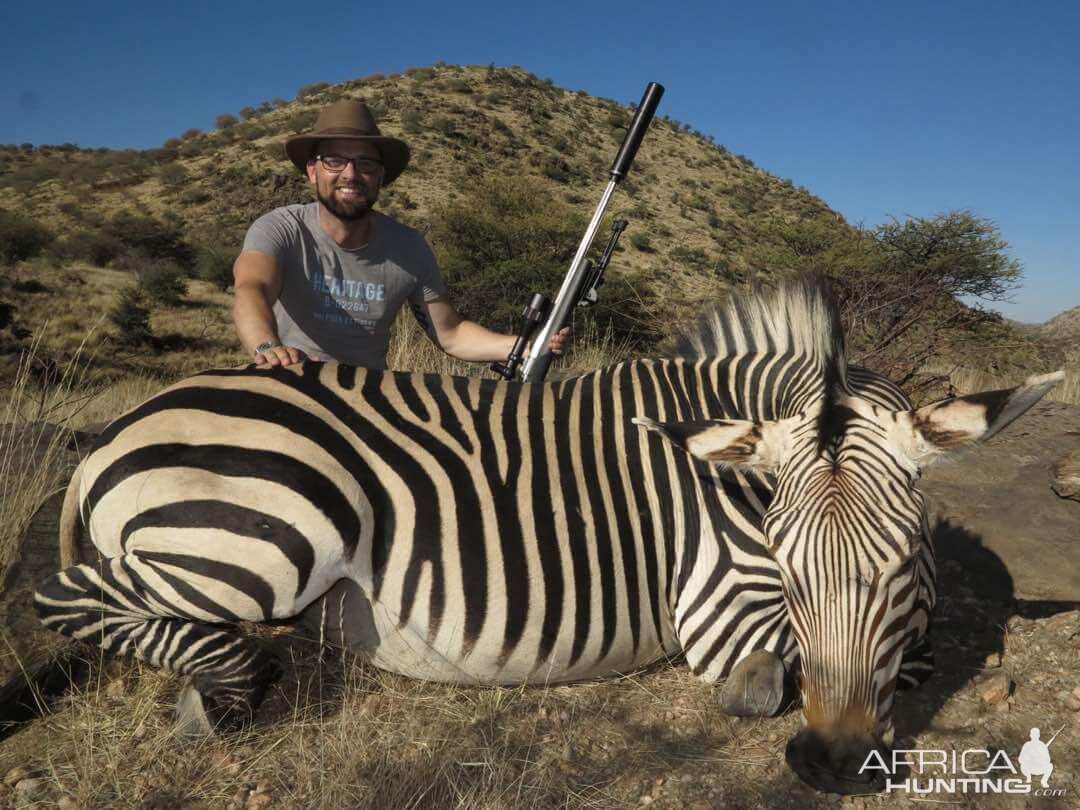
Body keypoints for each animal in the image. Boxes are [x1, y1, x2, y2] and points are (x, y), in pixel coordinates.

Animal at [35, 278, 1062, 794]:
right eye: (786, 568)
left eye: (905, 568)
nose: (831, 765)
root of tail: (121, 430)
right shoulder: (721, 612)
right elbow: (774, 684)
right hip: (263, 538)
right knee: (70, 601)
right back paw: (226, 689)